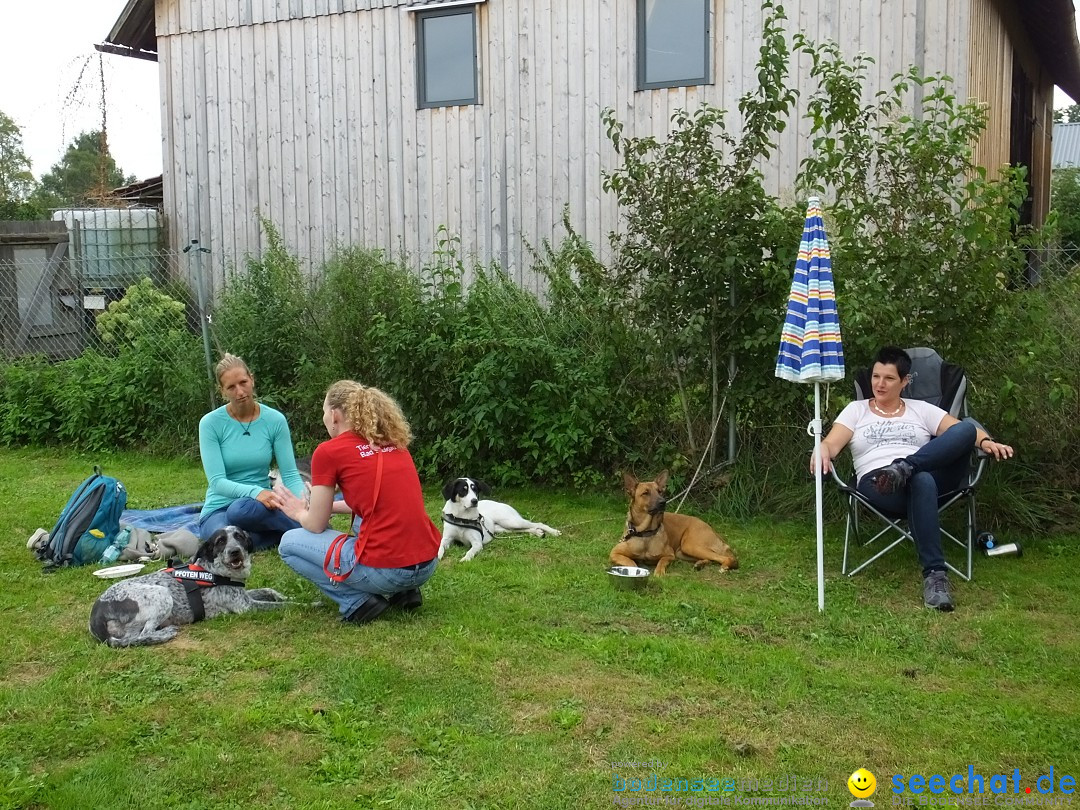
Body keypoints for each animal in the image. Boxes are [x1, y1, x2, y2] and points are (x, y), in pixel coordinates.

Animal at [89, 529, 291, 652]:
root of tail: (96, 613)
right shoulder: (246, 607)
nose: (235, 551)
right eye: (220, 541)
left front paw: (284, 595)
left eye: (239, 536)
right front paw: (297, 603)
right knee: (143, 635)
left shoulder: (243, 596)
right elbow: (285, 606)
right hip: (162, 595)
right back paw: (165, 633)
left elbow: (269, 590)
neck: (214, 571)